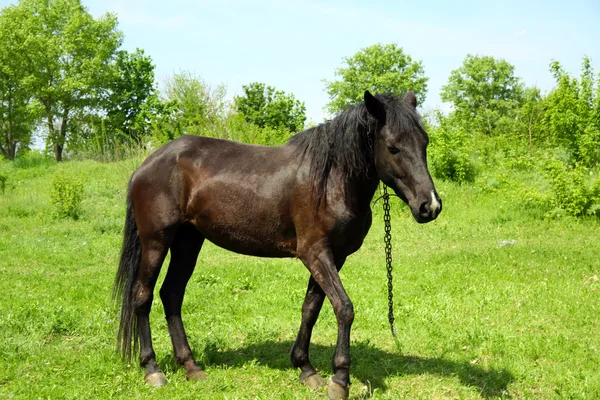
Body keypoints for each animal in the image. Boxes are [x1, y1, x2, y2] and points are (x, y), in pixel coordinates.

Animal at [112, 91, 440, 400]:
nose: (430, 206)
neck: (331, 179)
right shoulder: (316, 254)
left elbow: (311, 308)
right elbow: (344, 308)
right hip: (156, 240)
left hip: (188, 240)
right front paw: (339, 379)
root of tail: (147, 164)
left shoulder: (334, 257)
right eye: (393, 147)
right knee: (142, 296)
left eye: (424, 142)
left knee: (171, 294)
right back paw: (152, 369)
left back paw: (191, 366)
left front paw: (306, 369)